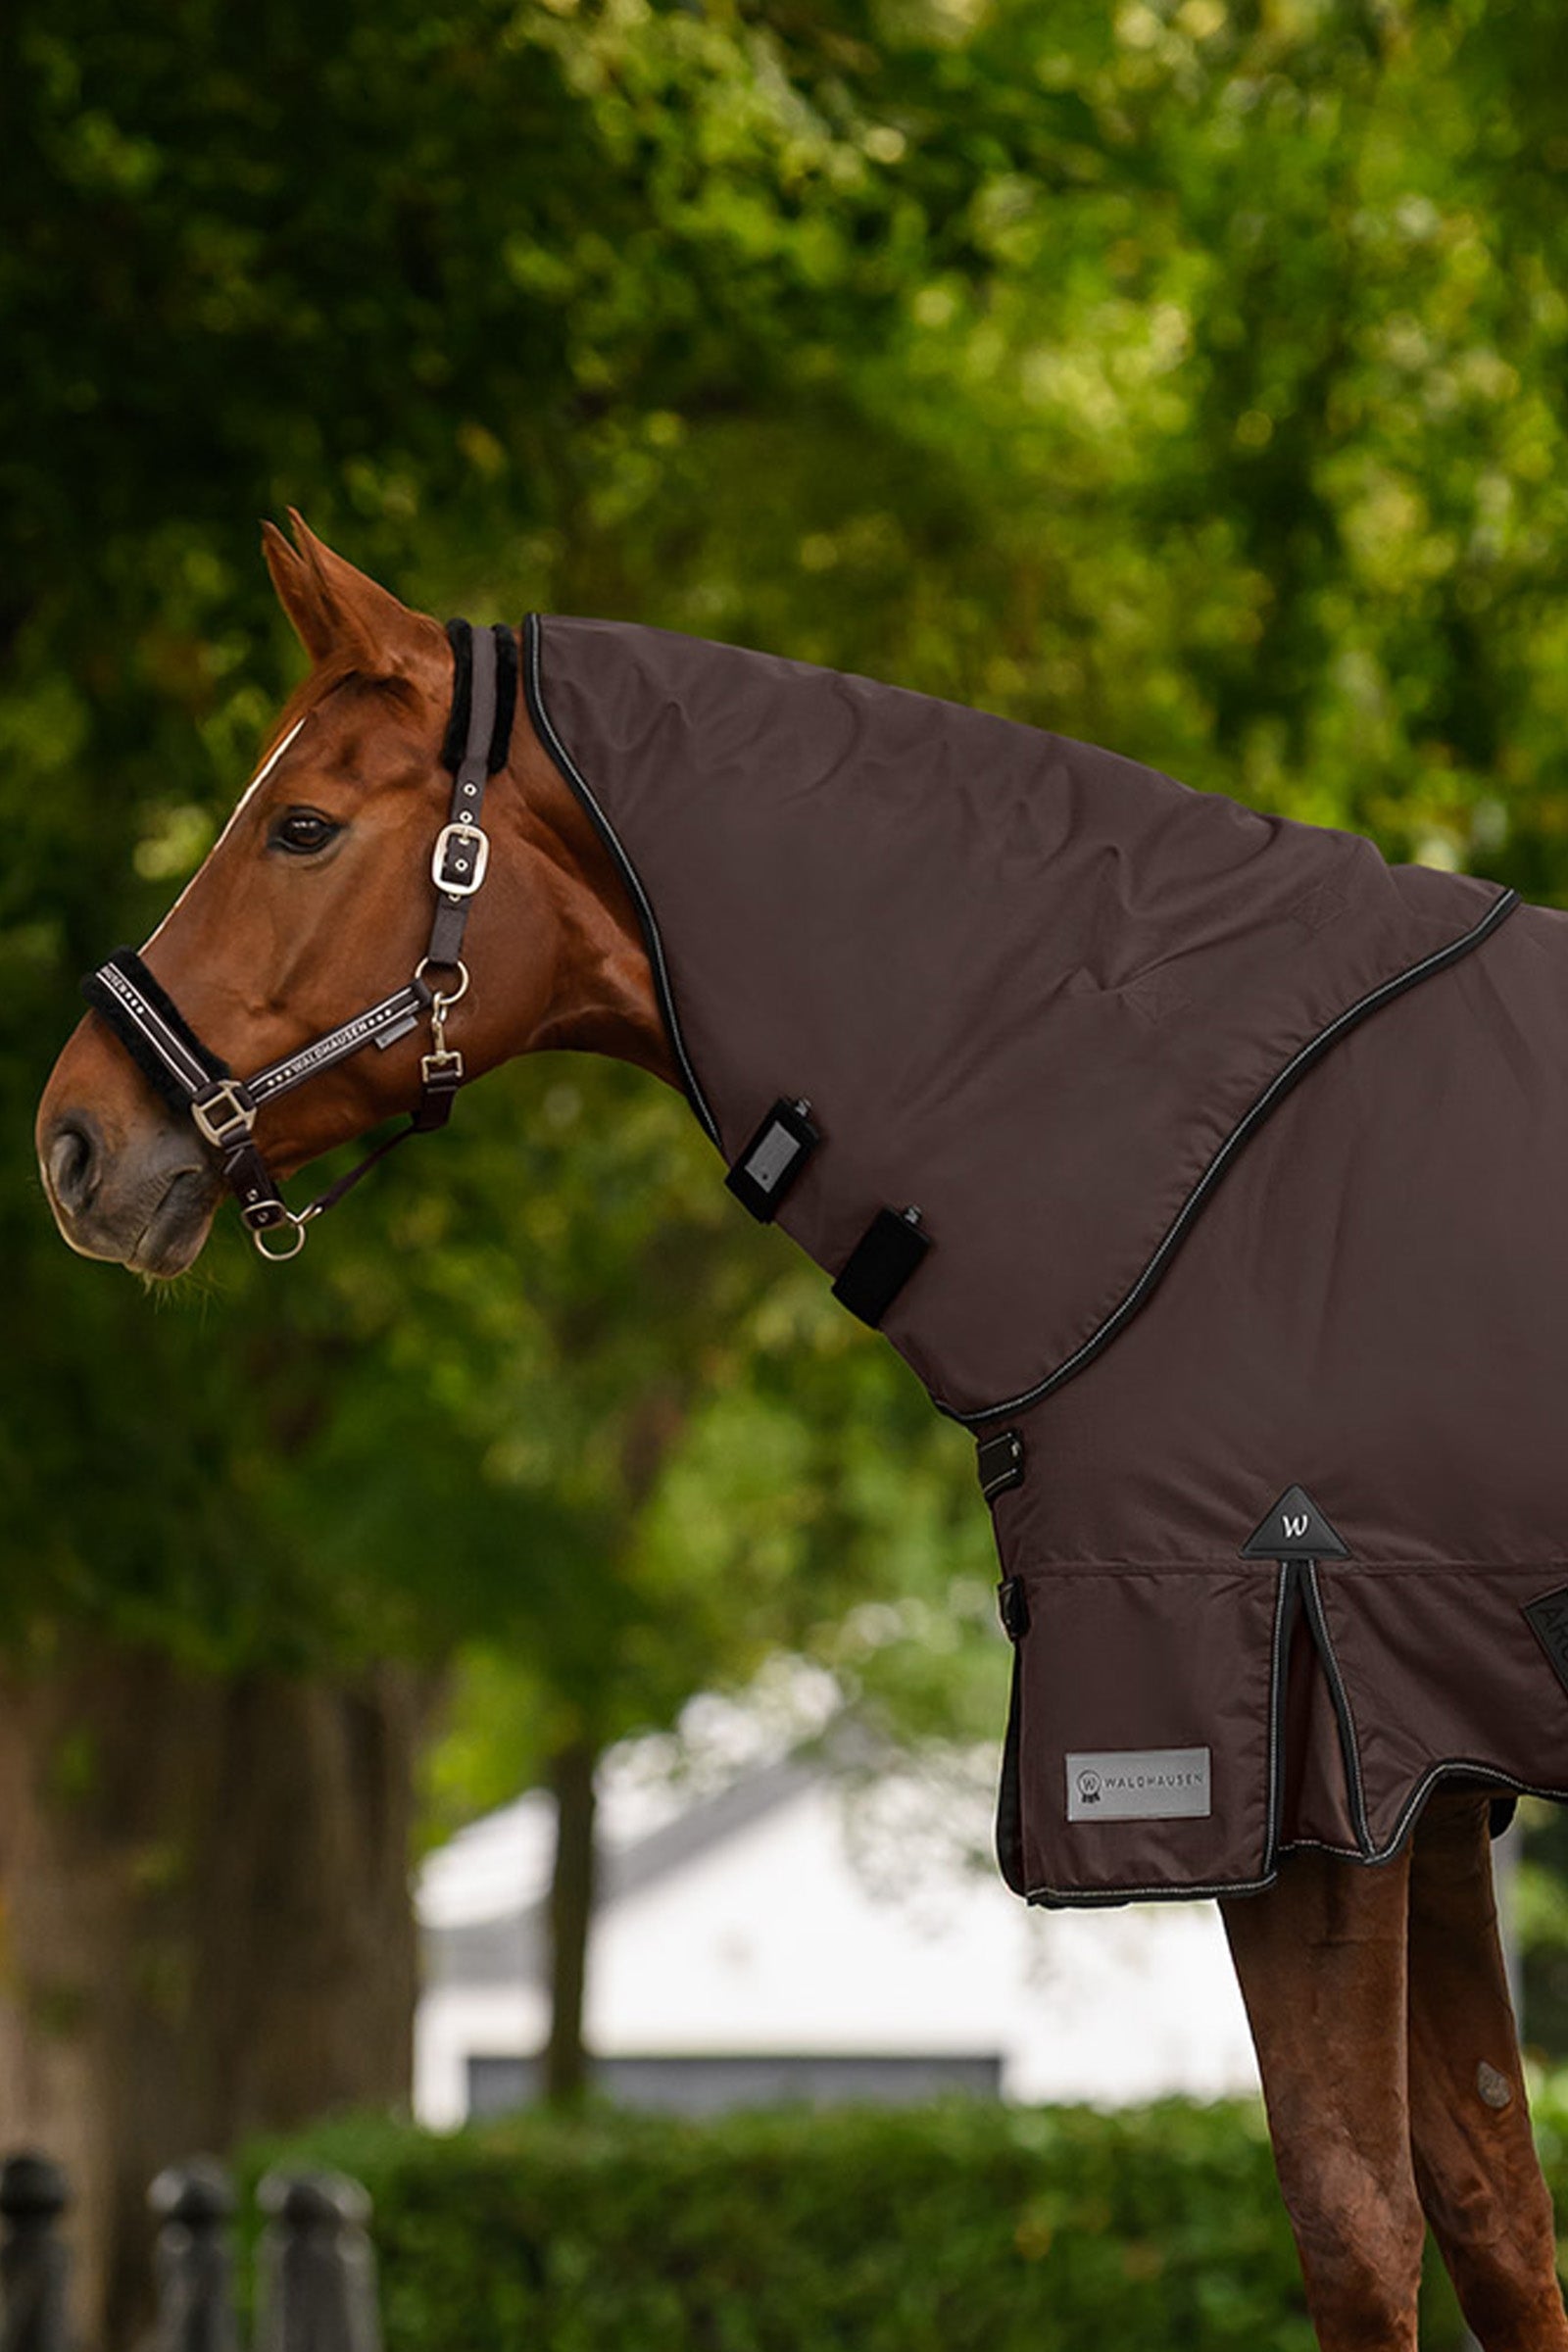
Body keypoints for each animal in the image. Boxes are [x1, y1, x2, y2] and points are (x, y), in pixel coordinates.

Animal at [36, 517, 1568, 2351]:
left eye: (303, 825)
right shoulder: (1419, 1773)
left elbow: (1358, 2226)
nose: (74, 1145)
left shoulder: (1288, 1745)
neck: (1197, 1145)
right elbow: (1495, 2215)